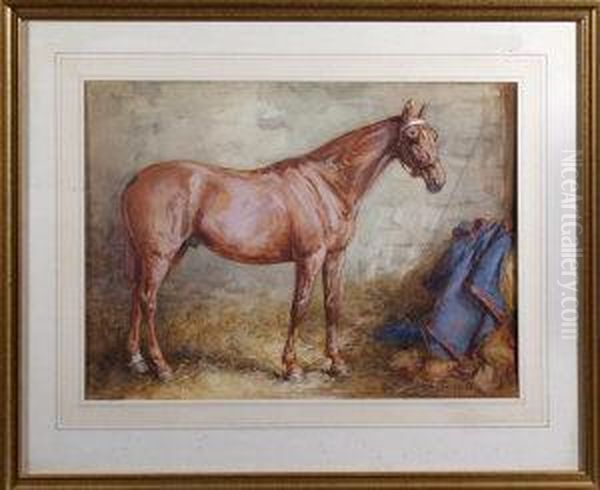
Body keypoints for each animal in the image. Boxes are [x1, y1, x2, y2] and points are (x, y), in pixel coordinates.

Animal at [121, 99, 445, 381]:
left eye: (434, 136)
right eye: (412, 137)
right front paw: (292, 367)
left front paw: (336, 363)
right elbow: (299, 306)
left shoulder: (336, 255)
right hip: (160, 255)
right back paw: (161, 367)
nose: (438, 181)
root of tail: (136, 180)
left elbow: (333, 304)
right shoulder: (310, 257)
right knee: (149, 300)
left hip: (160, 255)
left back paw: (136, 361)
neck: (328, 184)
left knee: (136, 295)